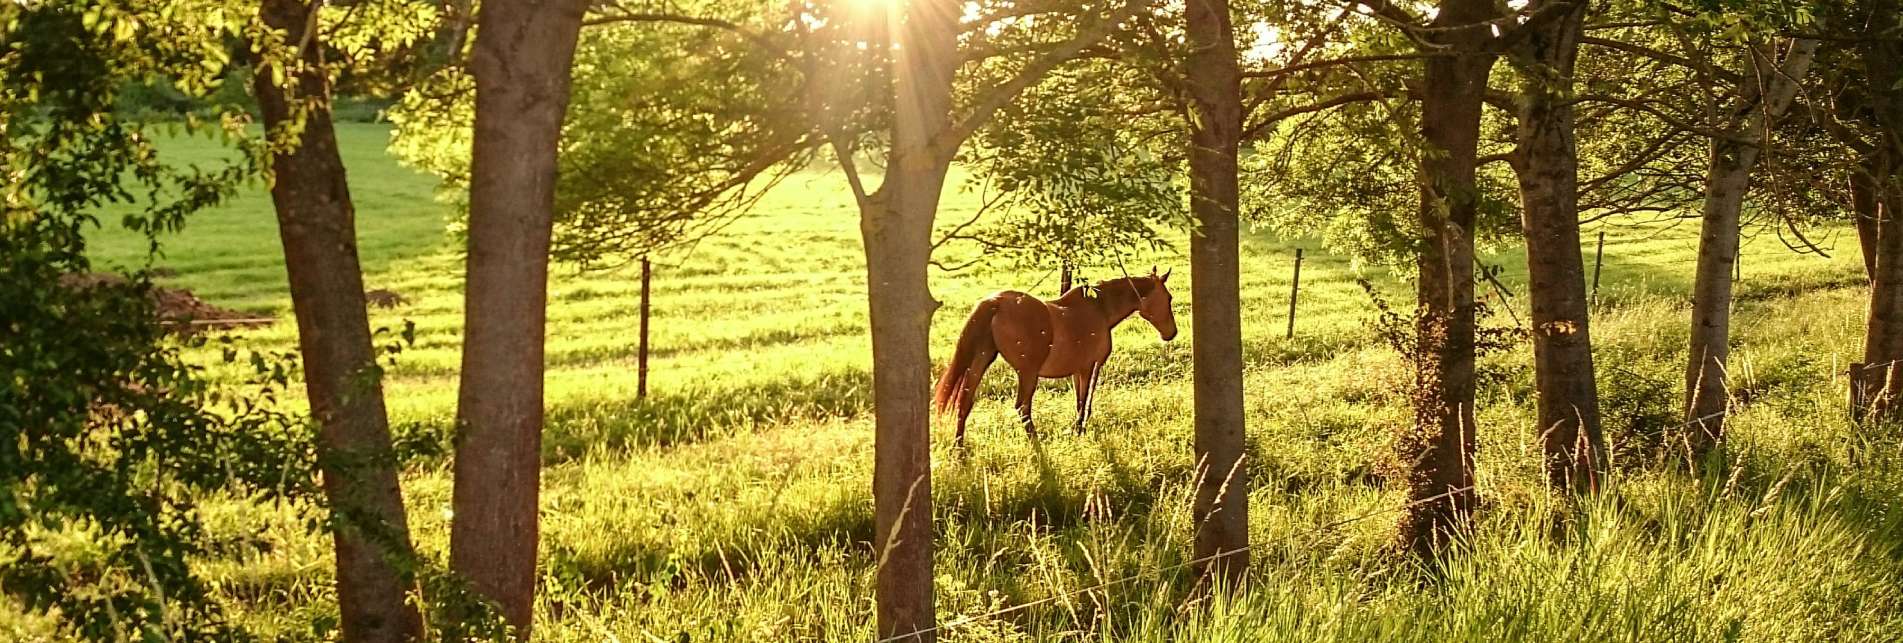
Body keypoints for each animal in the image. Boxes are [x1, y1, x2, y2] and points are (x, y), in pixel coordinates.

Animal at [932, 264, 1179, 441]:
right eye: (1168, 298)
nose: (1172, 333)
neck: (1099, 309)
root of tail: (996, 302)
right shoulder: (1090, 367)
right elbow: (1085, 402)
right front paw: (1079, 430)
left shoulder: (1077, 371)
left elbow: (1079, 401)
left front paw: (1077, 430)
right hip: (1027, 373)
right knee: (1022, 407)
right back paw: (1036, 441)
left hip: (981, 360)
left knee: (964, 402)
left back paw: (959, 449)